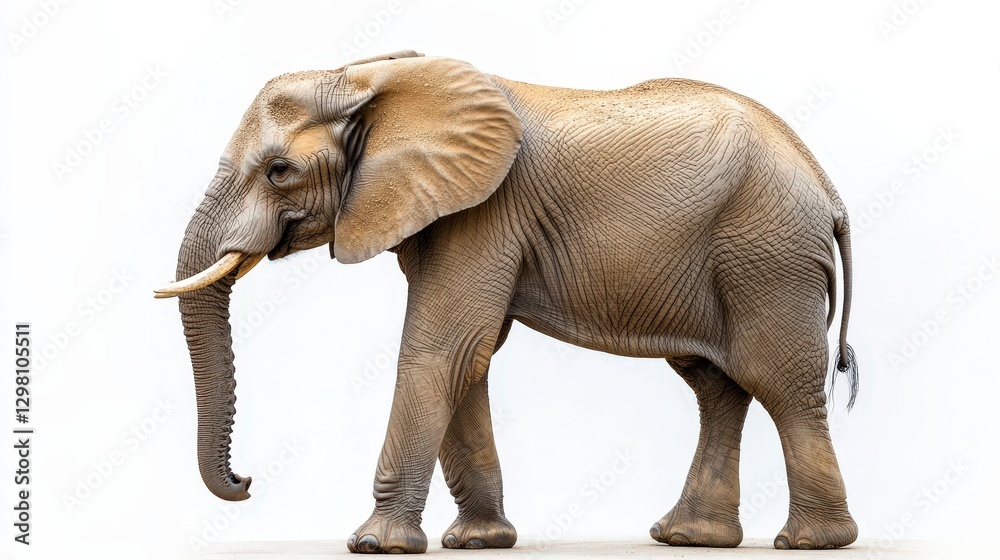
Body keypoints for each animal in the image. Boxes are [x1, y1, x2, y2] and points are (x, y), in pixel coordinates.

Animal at [156, 50, 859, 553]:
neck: (372, 78)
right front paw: (479, 542)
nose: (246, 482)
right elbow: (469, 357)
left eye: (279, 171)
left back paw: (810, 543)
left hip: (769, 257)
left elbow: (443, 349)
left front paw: (375, 544)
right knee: (717, 385)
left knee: (778, 381)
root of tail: (828, 190)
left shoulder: (485, 214)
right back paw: (689, 537)